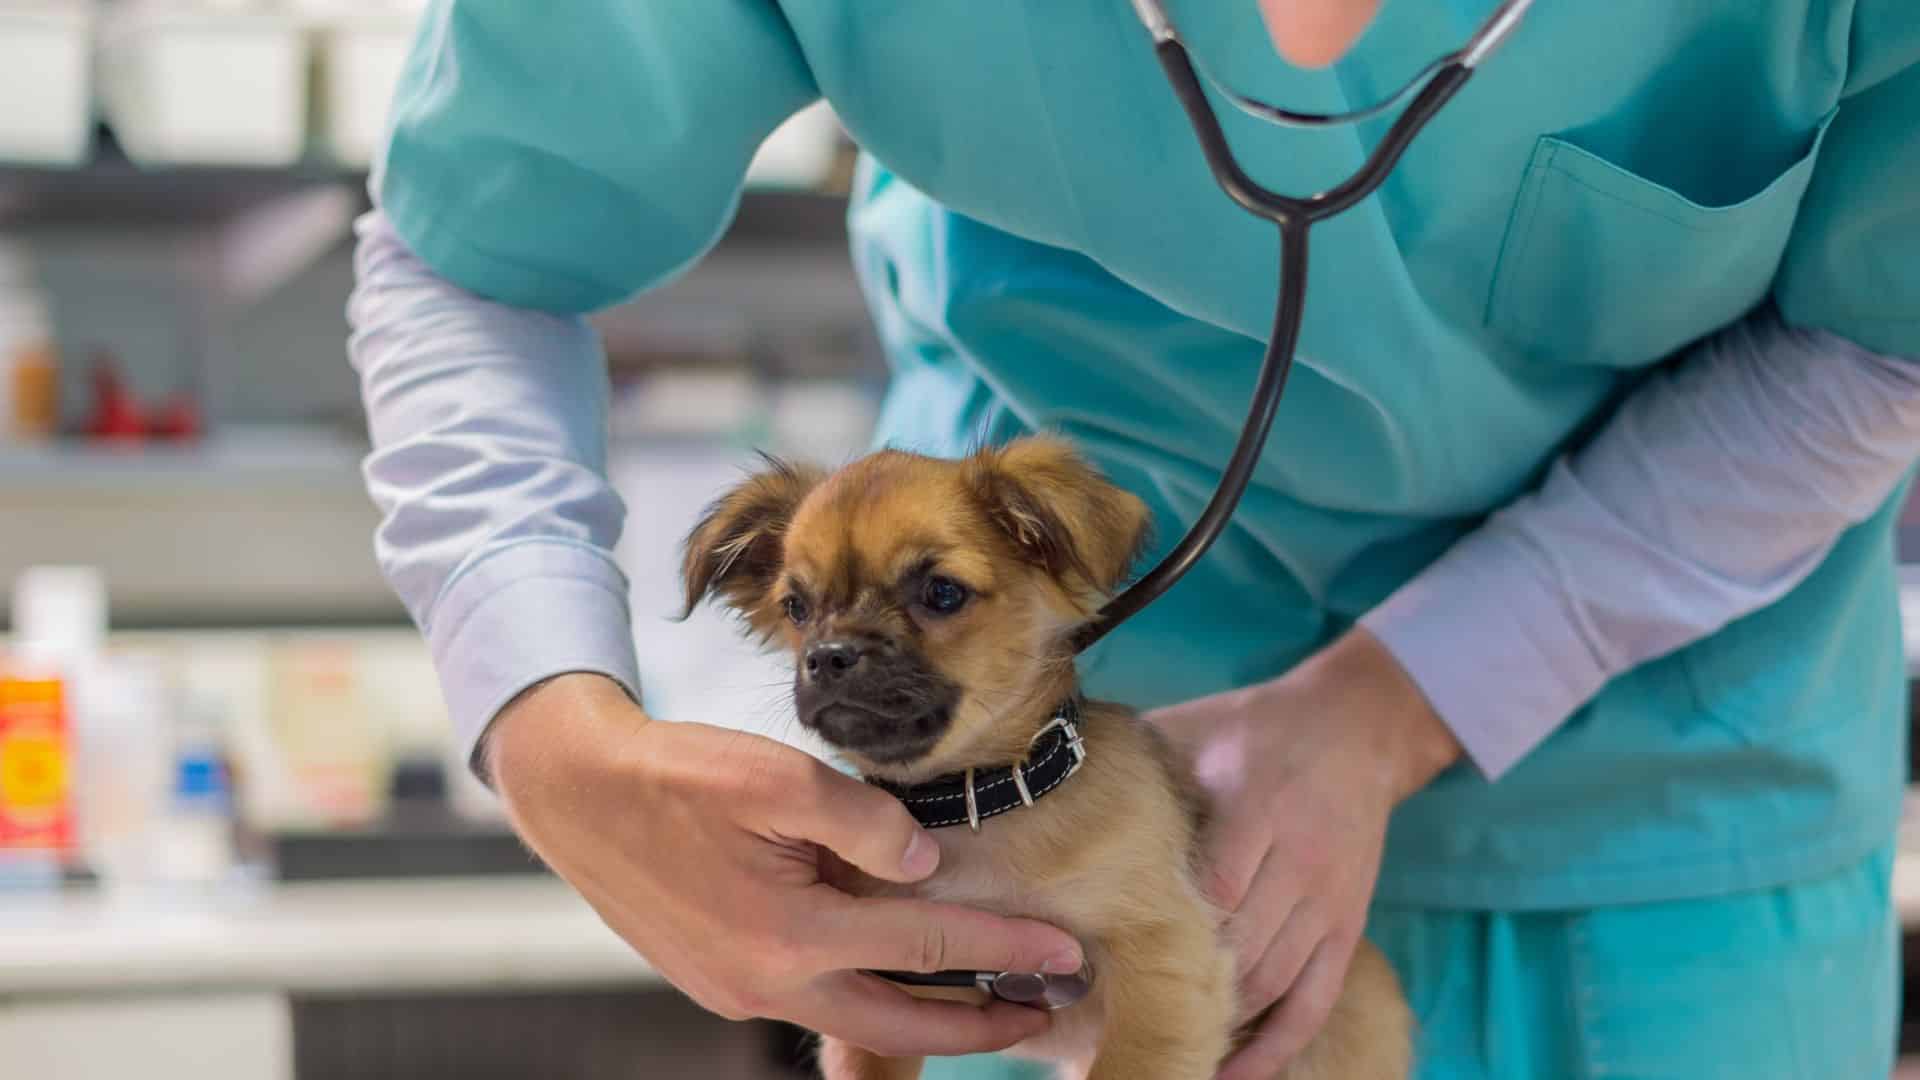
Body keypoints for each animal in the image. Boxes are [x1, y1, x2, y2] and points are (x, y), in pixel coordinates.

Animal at [679, 432, 1413, 1068]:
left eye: (941, 592)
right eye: (796, 608)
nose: (829, 656)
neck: (977, 805)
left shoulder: (1165, 962)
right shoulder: (884, 1004)